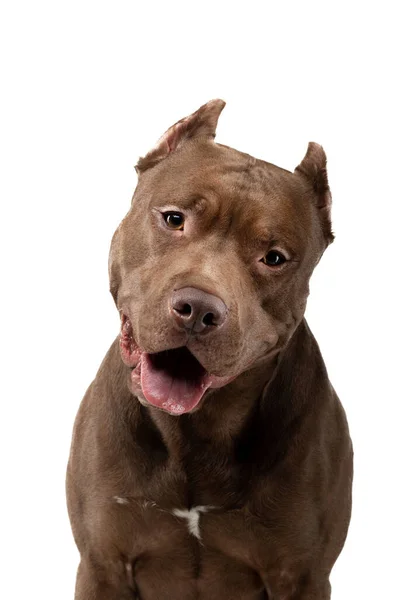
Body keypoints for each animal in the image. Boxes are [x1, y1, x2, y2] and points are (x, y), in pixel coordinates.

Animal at [65, 101, 352, 596]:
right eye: (173, 218)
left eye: (274, 258)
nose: (198, 309)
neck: (196, 430)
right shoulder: (103, 564)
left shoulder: (302, 575)